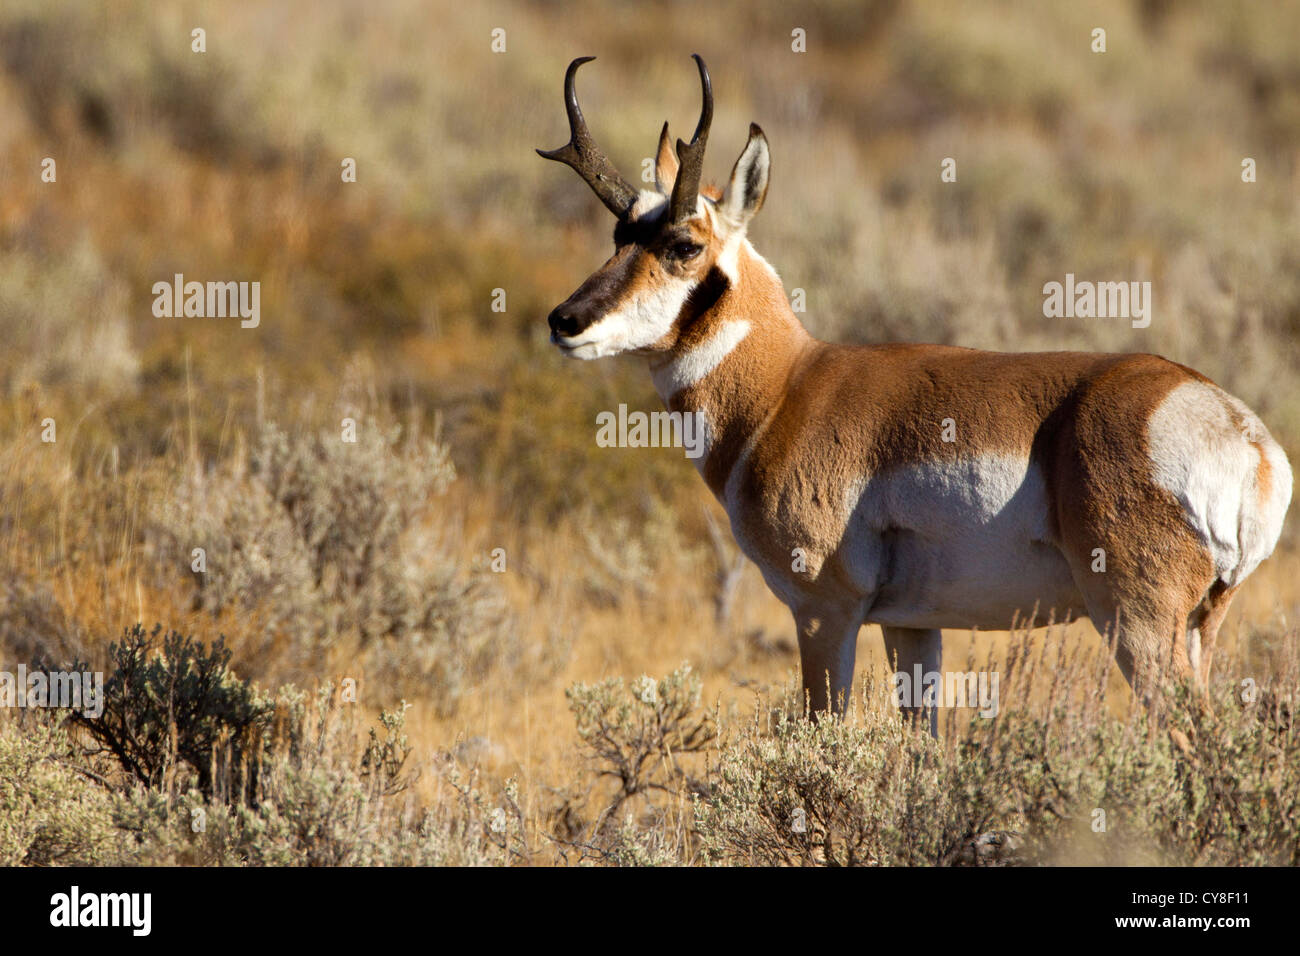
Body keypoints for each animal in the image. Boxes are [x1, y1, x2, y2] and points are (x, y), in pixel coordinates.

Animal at [537, 55, 1293, 721]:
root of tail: (1242, 434)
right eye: (618, 234)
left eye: (684, 246)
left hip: (1136, 624)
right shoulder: (912, 627)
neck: (787, 390)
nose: (564, 321)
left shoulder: (824, 612)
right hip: (1198, 626)